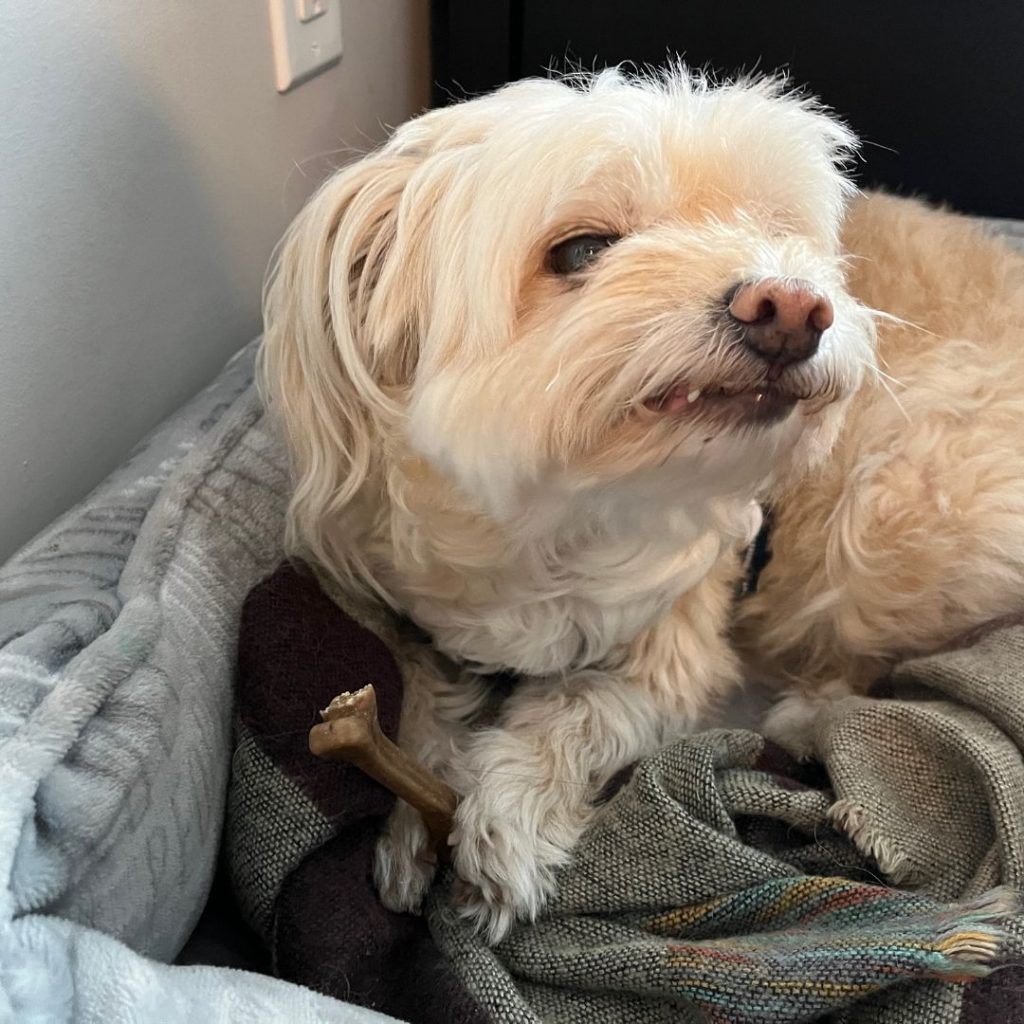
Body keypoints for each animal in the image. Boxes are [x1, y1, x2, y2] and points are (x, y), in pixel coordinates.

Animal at [258, 66, 1024, 942]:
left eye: (774, 231)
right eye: (582, 250)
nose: (794, 306)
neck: (556, 517)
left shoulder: (676, 650)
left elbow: (582, 709)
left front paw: (507, 820)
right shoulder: (415, 616)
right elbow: (418, 695)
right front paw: (410, 815)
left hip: (883, 514)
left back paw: (807, 719)